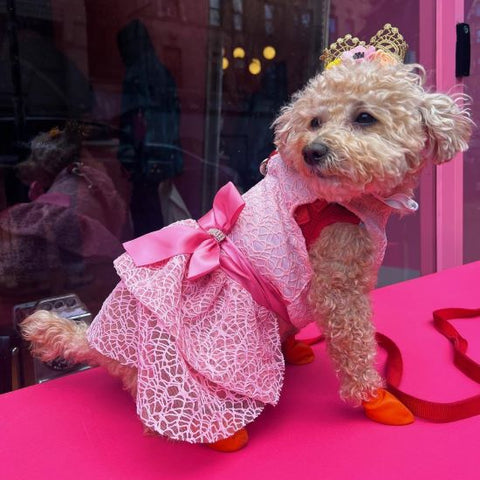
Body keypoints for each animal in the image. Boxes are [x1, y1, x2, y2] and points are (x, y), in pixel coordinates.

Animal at [21, 25, 472, 454]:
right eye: (314, 121)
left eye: (364, 117)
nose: (312, 151)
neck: (347, 200)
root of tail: (94, 342)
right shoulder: (338, 290)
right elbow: (354, 345)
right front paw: (373, 398)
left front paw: (295, 349)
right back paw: (221, 433)